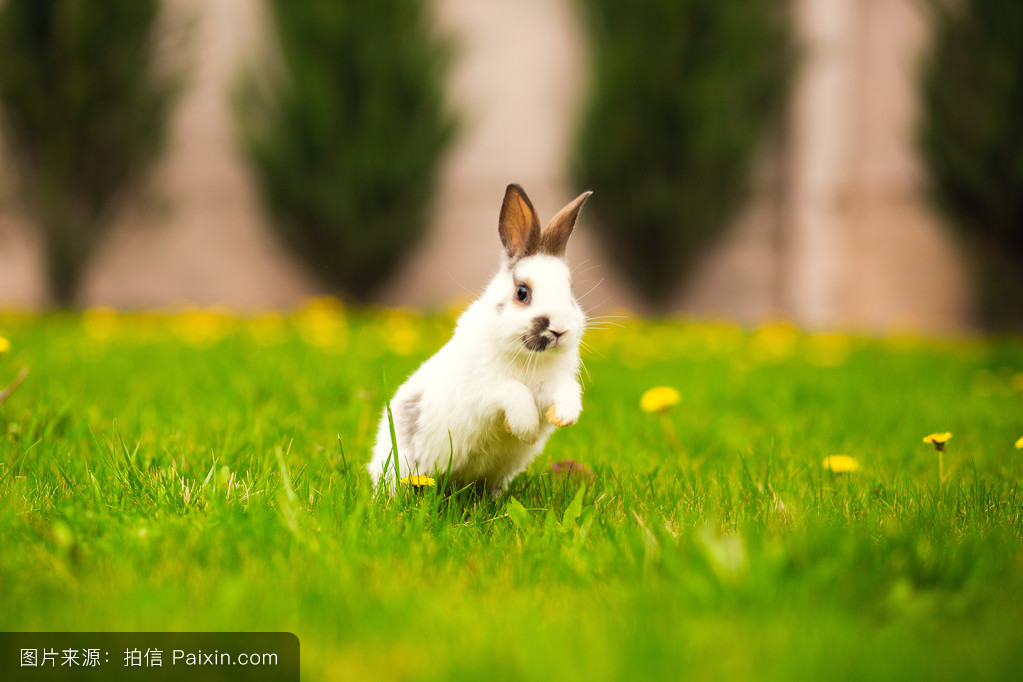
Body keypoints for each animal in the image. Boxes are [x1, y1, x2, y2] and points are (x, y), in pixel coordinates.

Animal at [368, 184, 593, 492]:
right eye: (522, 292)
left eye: (570, 292)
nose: (559, 330)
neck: (527, 358)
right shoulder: (486, 390)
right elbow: (514, 392)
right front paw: (525, 428)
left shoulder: (554, 384)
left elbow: (567, 393)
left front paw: (564, 417)